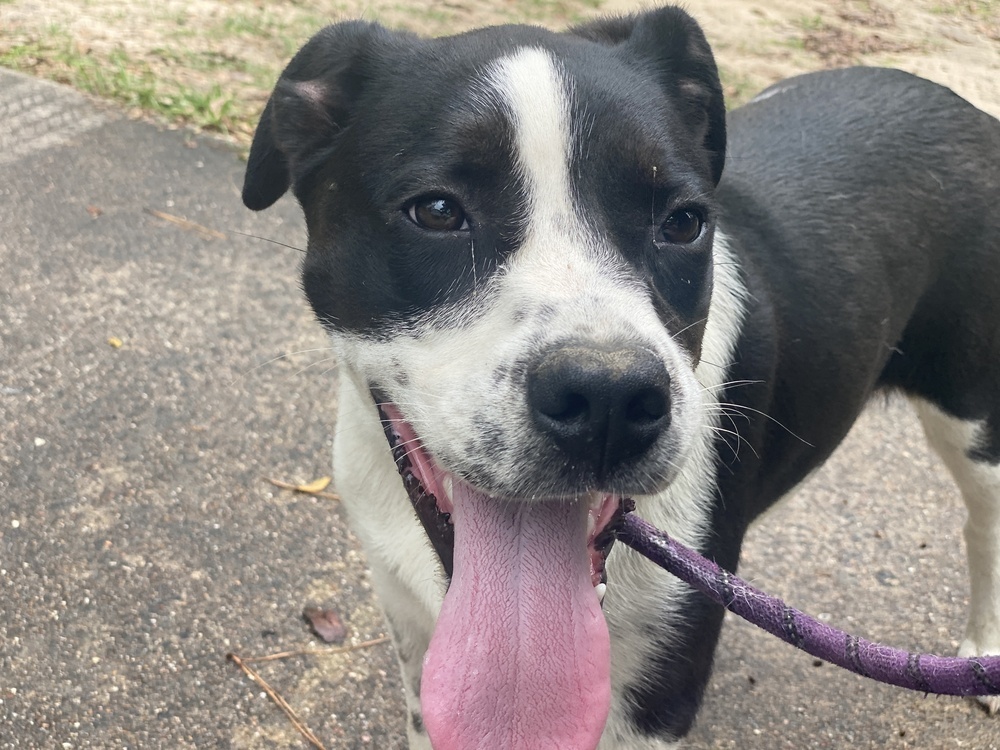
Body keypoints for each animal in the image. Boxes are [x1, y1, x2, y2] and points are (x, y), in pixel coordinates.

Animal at [242, 7, 1000, 750]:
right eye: (435, 211)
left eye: (685, 222)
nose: (607, 397)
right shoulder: (409, 622)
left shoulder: (662, 680)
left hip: (978, 423)